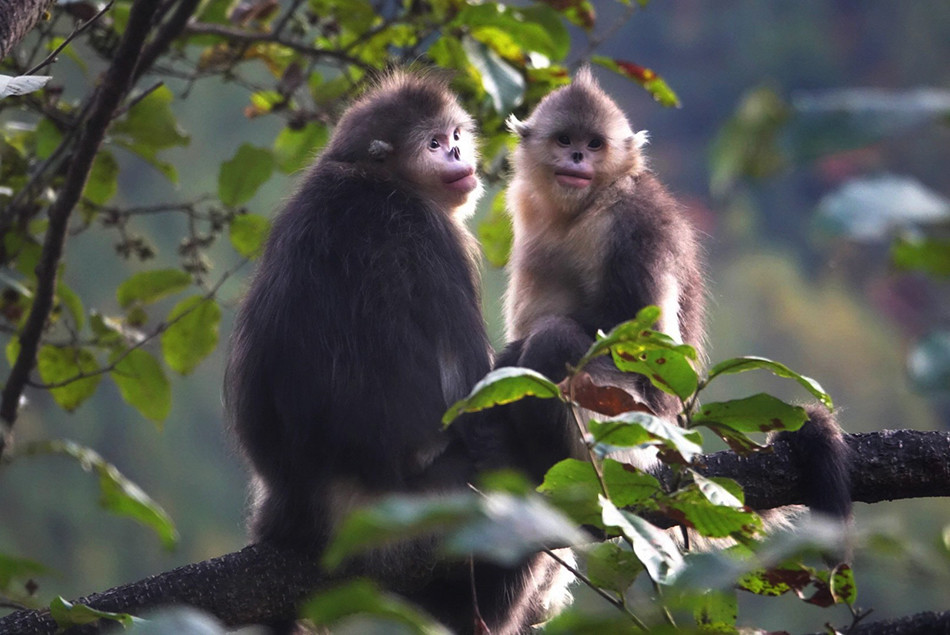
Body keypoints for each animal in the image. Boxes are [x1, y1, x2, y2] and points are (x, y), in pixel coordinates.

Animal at [225, 71, 572, 635]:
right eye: (432, 144)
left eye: (455, 136)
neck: (374, 180)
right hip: (433, 504)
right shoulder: (437, 241)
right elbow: (476, 400)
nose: (456, 154)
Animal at [494, 67, 852, 528]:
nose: (575, 158)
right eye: (564, 139)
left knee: (556, 339)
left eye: (594, 144)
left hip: (627, 435)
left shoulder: (635, 226)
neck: (583, 209)